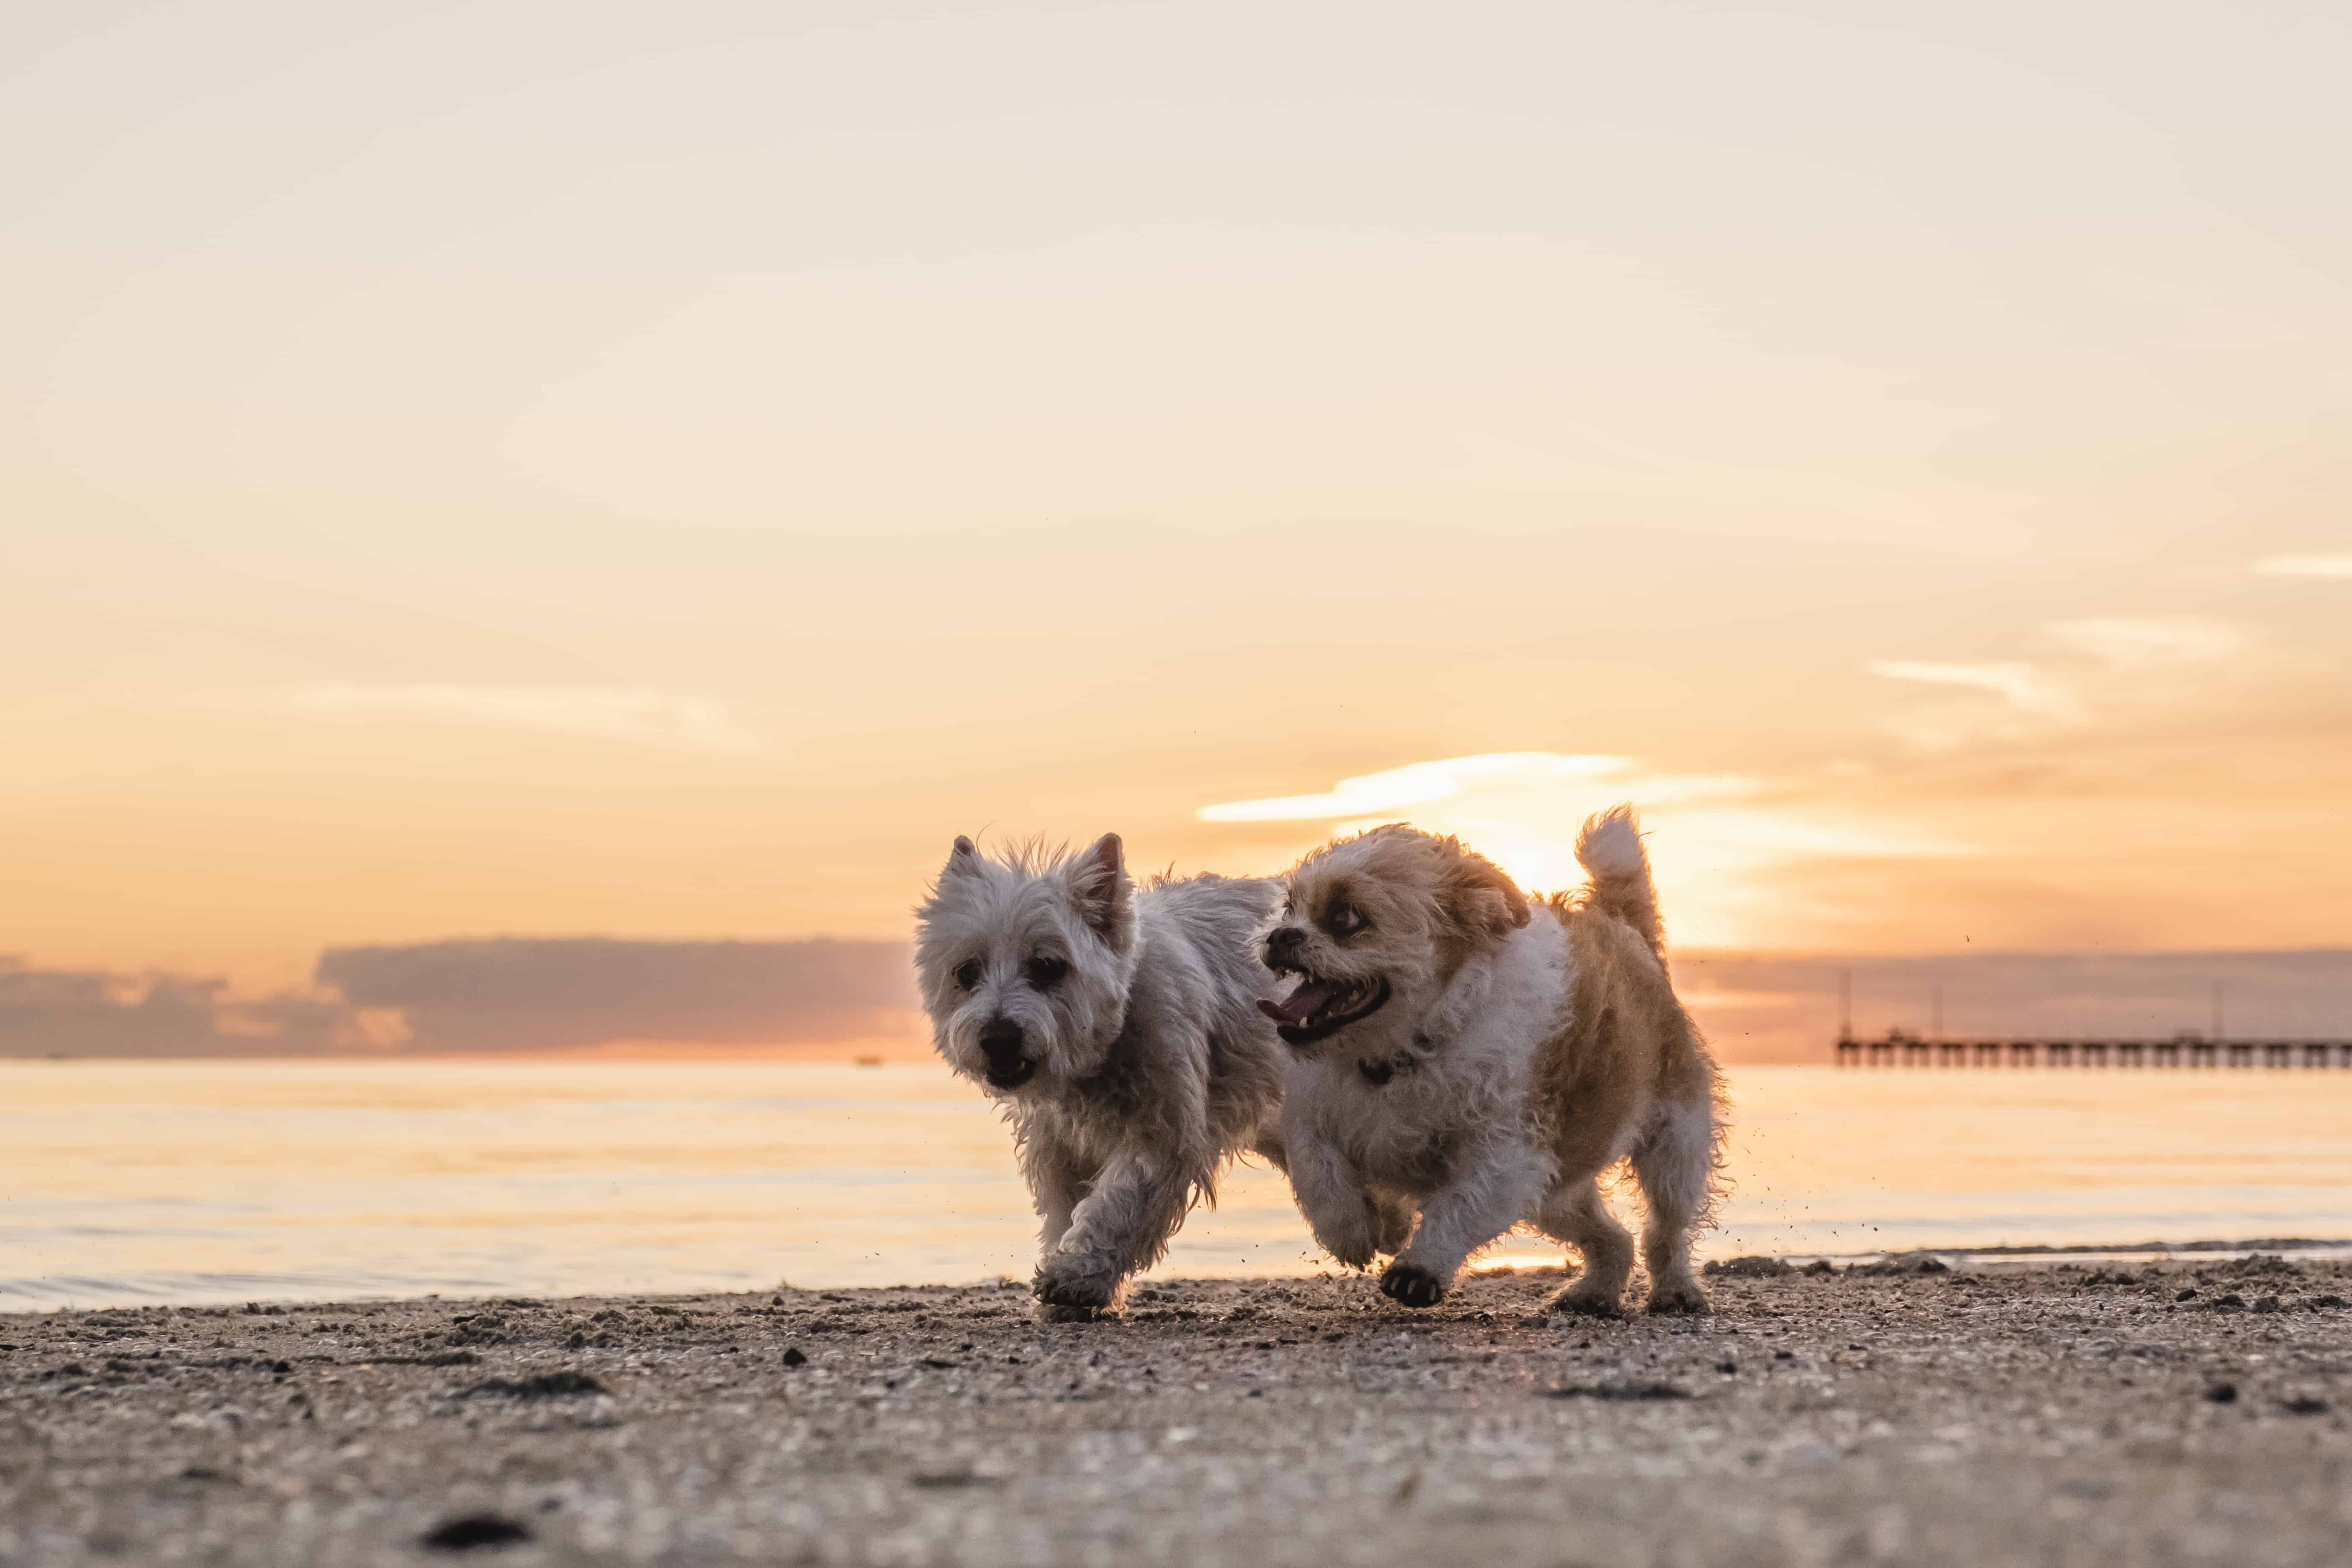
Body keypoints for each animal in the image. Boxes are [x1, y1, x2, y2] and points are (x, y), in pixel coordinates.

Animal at [912, 841, 1289, 1316]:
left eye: (1048, 966)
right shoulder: (1058, 1144)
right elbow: (1065, 1209)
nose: (998, 1038)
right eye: (966, 972)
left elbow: (1117, 1203)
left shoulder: (1164, 1133)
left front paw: (1076, 1277)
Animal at [1260, 808, 1722, 1316]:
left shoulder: (1507, 1156)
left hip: (1673, 1145)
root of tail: (1623, 926)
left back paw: (1676, 1289)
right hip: (1555, 1191)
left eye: (1345, 917)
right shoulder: (1314, 1115)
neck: (1408, 1050)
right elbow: (1317, 1170)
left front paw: (1418, 1267)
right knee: (1612, 1238)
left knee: (1668, 1227)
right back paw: (1594, 1291)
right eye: (1289, 909)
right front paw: (1359, 1226)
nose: (1280, 934)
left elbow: (1460, 1205)